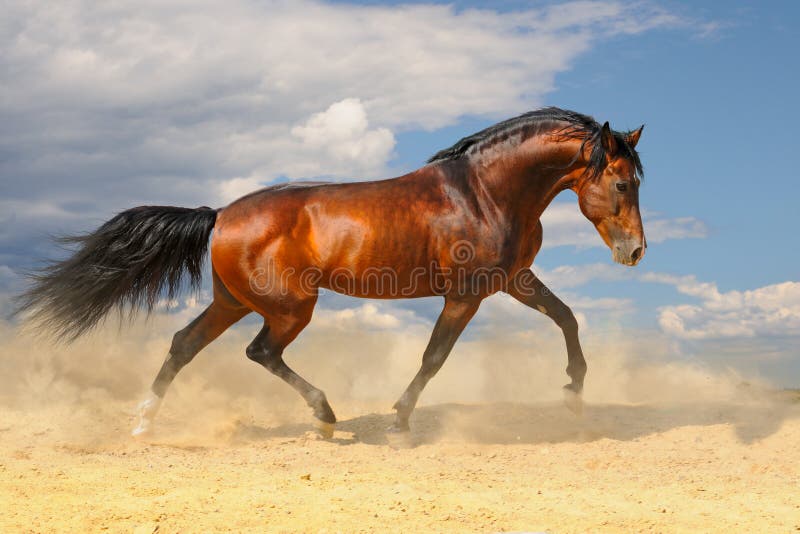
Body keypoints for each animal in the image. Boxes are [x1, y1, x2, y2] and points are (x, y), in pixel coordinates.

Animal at [15, 108, 648, 440]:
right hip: (289, 307)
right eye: (622, 182)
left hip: (233, 301)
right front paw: (399, 420)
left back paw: (144, 424)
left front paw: (574, 394)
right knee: (260, 353)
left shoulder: (514, 281)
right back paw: (324, 416)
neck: (483, 193)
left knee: (183, 344)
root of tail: (220, 214)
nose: (636, 251)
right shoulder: (466, 295)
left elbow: (567, 318)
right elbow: (434, 357)